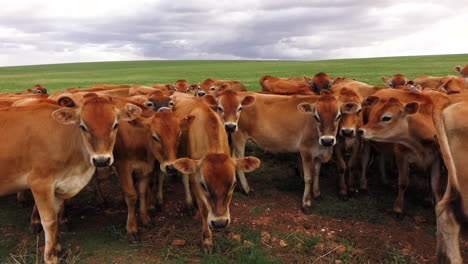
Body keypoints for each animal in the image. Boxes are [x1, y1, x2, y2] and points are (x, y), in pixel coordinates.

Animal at [0, 94, 142, 262]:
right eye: (83, 126)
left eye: (115, 125)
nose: (101, 160)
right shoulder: (40, 183)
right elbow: (49, 221)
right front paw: (51, 257)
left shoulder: (59, 185)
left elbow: (56, 217)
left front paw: (58, 250)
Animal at [171, 92, 262, 253]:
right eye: (203, 184)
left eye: (233, 184)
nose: (220, 223)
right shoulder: (195, 177)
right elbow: (203, 208)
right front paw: (207, 240)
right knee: (184, 179)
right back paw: (189, 204)